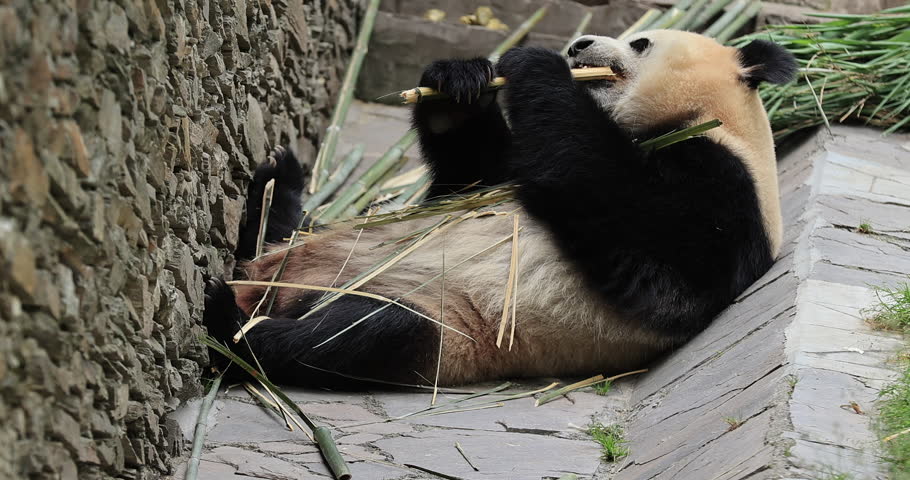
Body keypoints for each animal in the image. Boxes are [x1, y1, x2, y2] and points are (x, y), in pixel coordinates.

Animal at [204, 30, 797, 387]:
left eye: (641, 41)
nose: (579, 45)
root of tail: (272, 289)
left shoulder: (728, 191)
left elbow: (641, 233)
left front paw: (534, 64)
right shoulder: (495, 177)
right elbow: (472, 177)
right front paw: (458, 83)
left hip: (446, 324)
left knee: (361, 333)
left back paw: (229, 324)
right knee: (289, 236)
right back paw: (278, 187)